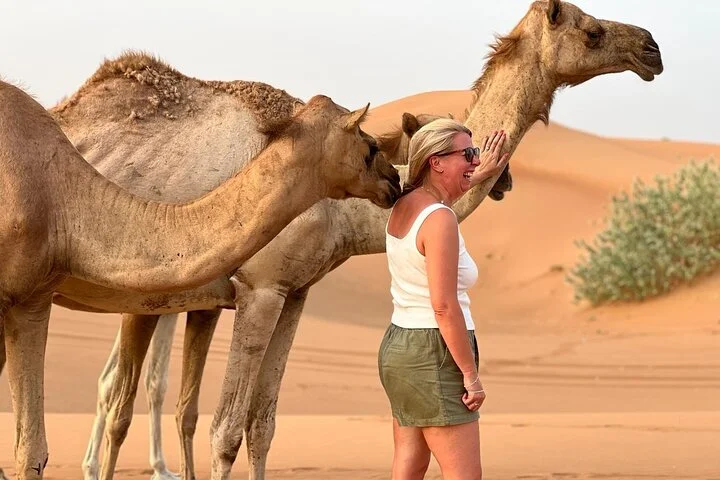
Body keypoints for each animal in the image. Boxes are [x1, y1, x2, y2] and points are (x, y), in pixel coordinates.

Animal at [0, 77, 402, 480]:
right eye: (370, 147)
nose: (395, 180)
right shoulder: (259, 289)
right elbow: (223, 430)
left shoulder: (291, 294)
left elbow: (254, 424)